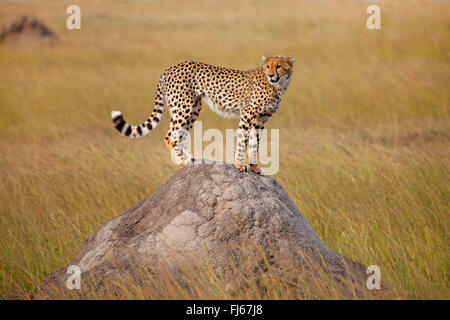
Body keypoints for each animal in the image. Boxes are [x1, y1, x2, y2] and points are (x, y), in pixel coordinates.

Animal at [111, 55, 296, 175]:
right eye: (268, 66)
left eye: (278, 66)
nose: (271, 75)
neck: (278, 86)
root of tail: (169, 69)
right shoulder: (247, 114)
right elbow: (242, 140)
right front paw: (239, 165)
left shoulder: (260, 120)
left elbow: (254, 143)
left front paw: (254, 166)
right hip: (184, 107)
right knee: (170, 136)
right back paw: (182, 163)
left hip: (191, 108)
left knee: (180, 134)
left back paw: (192, 160)